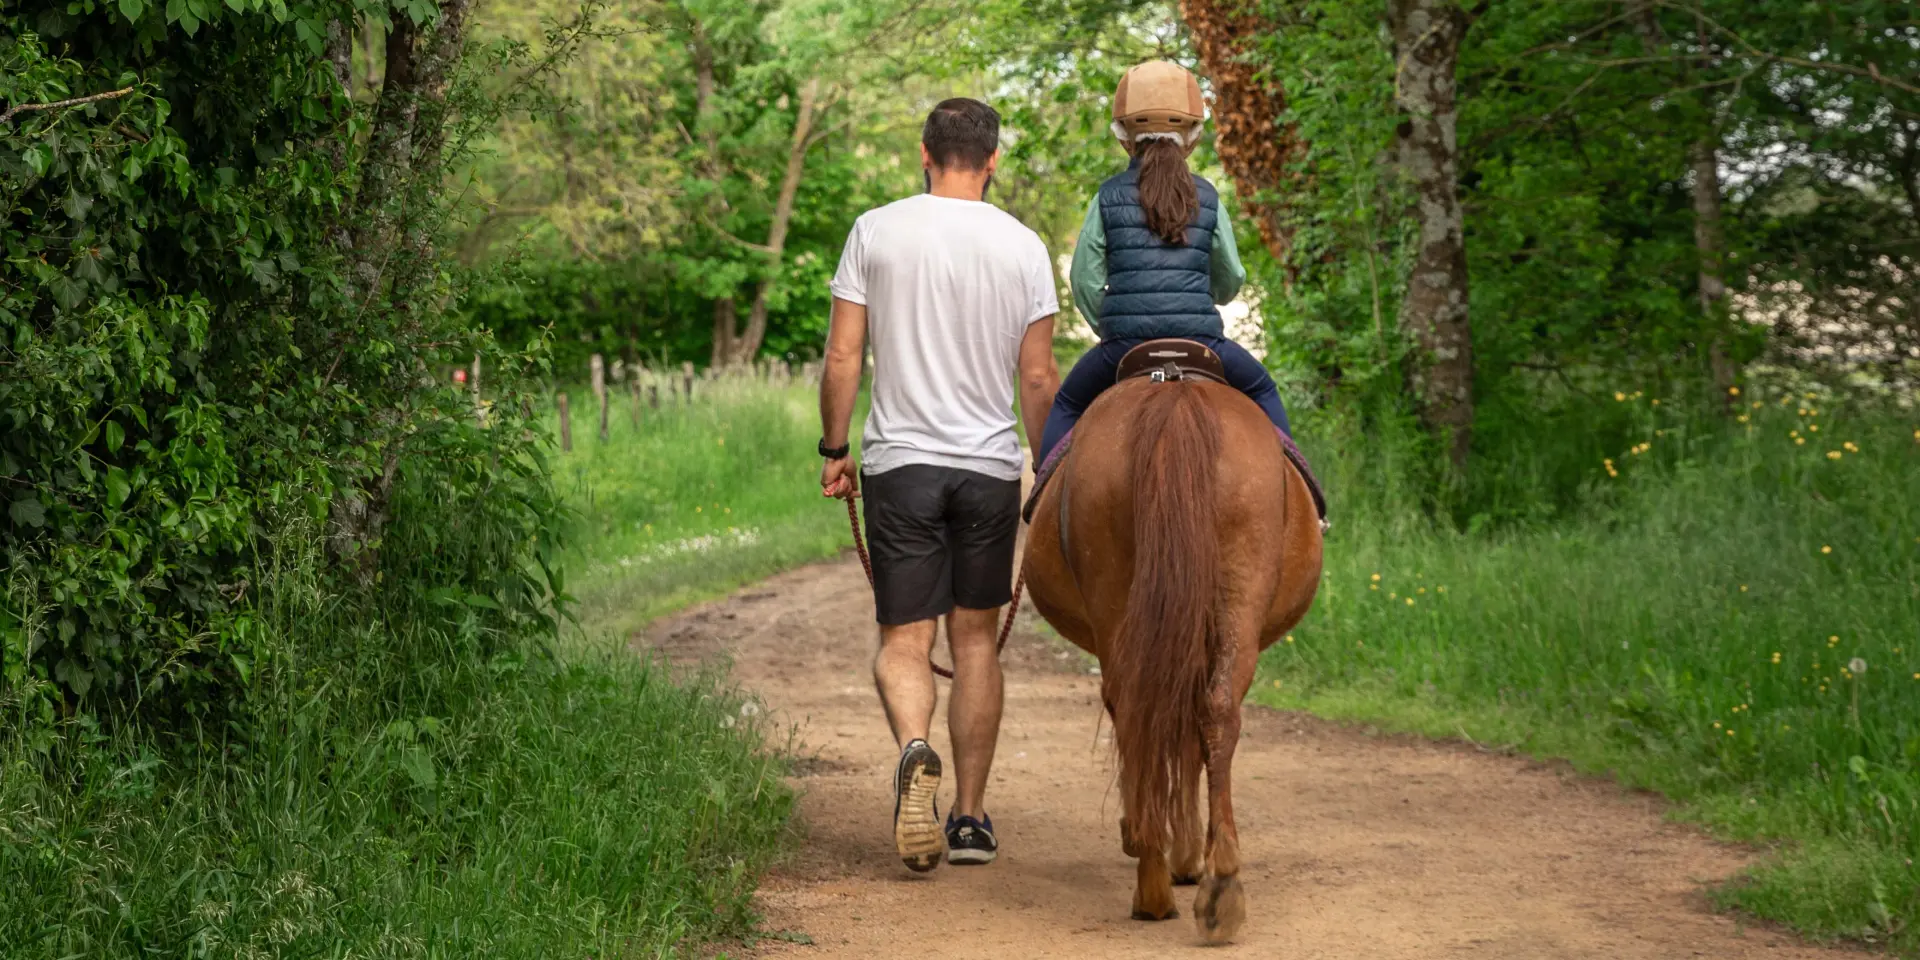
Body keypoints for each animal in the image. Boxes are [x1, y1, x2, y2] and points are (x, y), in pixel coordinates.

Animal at [1023, 366, 1323, 944]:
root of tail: (1176, 396)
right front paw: (1185, 853)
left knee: (1158, 712)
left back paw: (1169, 881)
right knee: (1204, 713)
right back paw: (1201, 887)